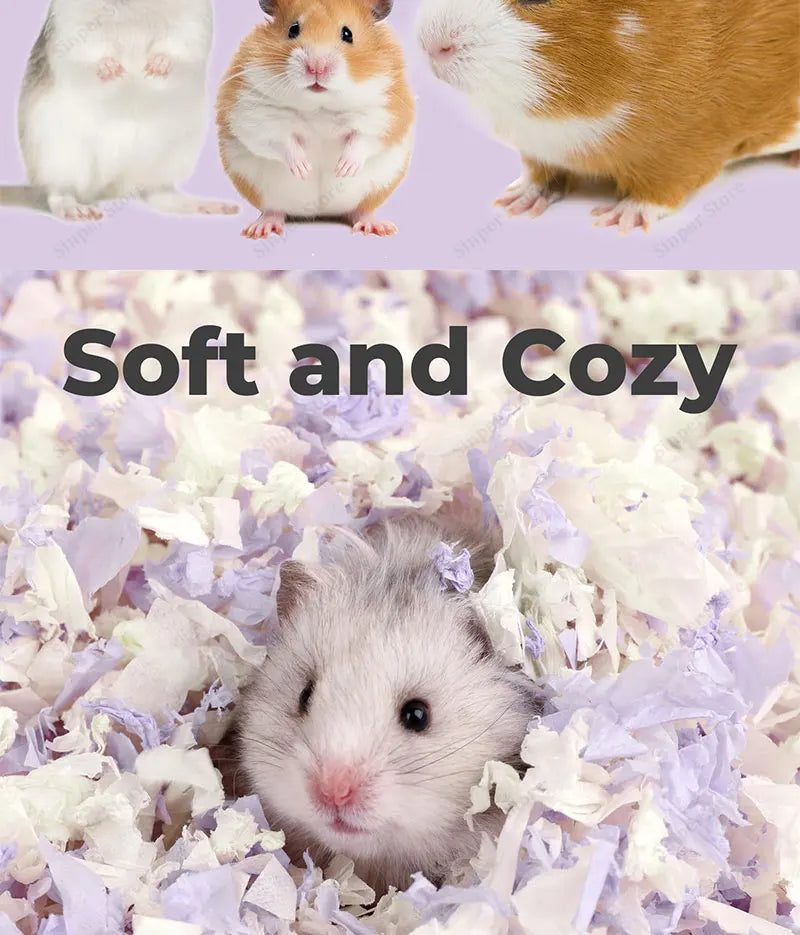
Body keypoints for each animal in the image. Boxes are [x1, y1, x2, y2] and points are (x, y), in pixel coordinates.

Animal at [0, 0, 238, 221]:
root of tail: (112, 186)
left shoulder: (193, 23)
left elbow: (179, 46)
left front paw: (155, 67)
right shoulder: (73, 24)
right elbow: (88, 49)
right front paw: (113, 70)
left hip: (173, 155)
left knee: (160, 193)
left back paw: (211, 206)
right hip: (59, 153)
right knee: (59, 192)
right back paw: (78, 210)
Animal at [216, 0, 415, 239]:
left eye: (347, 34)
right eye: (293, 29)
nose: (316, 67)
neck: (319, 106)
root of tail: (321, 212)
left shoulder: (386, 112)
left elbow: (363, 138)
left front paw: (344, 168)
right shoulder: (253, 111)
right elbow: (281, 139)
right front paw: (304, 168)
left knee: (361, 210)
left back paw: (377, 227)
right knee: (274, 210)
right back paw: (261, 229)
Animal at [416, 0, 800, 232]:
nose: (432, 43)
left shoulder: (687, 151)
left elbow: (660, 192)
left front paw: (616, 219)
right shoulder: (540, 152)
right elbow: (541, 177)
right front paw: (515, 203)